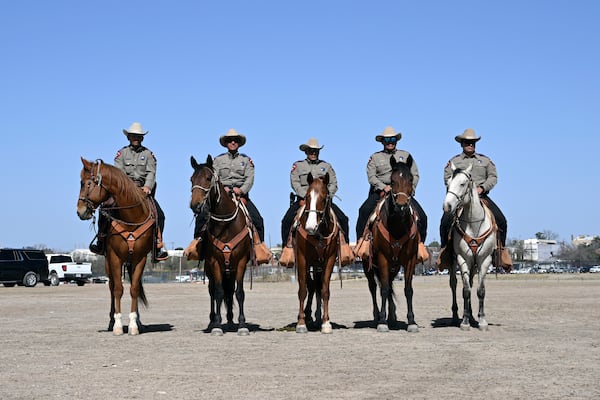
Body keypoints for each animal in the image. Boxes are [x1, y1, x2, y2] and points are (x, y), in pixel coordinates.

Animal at [76, 158, 156, 336]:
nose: (80, 211)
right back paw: (112, 321)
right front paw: (118, 325)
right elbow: (118, 289)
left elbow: (134, 289)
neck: (131, 218)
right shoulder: (114, 257)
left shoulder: (140, 258)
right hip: (108, 264)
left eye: (87, 183)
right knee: (112, 287)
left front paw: (134, 325)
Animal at [189, 155, 252, 336]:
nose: (195, 205)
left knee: (230, 291)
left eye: (208, 178)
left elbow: (239, 293)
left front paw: (242, 324)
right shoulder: (214, 262)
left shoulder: (241, 262)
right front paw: (217, 325)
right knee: (213, 291)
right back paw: (213, 321)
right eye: (191, 179)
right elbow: (218, 292)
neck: (226, 225)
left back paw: (230, 321)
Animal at [294, 173, 340, 332]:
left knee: (318, 287)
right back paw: (307, 316)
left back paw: (318, 317)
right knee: (311, 286)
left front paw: (326, 322)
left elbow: (325, 290)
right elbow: (303, 290)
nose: (310, 226)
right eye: (307, 196)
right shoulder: (302, 259)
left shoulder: (330, 260)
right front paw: (301, 323)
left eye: (324, 198)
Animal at [364, 156, 420, 334]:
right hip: (369, 265)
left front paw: (411, 321)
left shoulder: (410, 260)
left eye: (410, 179)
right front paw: (382, 321)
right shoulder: (382, 258)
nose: (401, 206)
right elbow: (383, 289)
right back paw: (378, 316)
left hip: (394, 267)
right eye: (392, 180)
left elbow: (408, 290)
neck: (397, 226)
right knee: (374, 287)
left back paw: (393, 316)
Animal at [442, 163, 494, 332]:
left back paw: (472, 315)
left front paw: (482, 320)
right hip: (455, 262)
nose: (447, 206)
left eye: (462, 183)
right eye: (448, 183)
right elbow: (465, 291)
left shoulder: (484, 260)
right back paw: (456, 317)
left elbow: (480, 290)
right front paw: (464, 322)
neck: (473, 223)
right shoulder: (462, 258)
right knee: (453, 284)